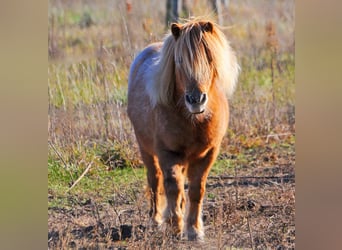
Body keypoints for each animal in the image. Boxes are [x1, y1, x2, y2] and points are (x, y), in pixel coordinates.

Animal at [127, 19, 239, 240]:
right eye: (179, 61)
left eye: (209, 58)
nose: (196, 99)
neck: (194, 121)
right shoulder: (168, 152)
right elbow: (172, 186)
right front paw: (175, 225)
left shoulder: (208, 153)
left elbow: (196, 189)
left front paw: (194, 230)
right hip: (146, 149)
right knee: (155, 180)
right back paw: (156, 219)